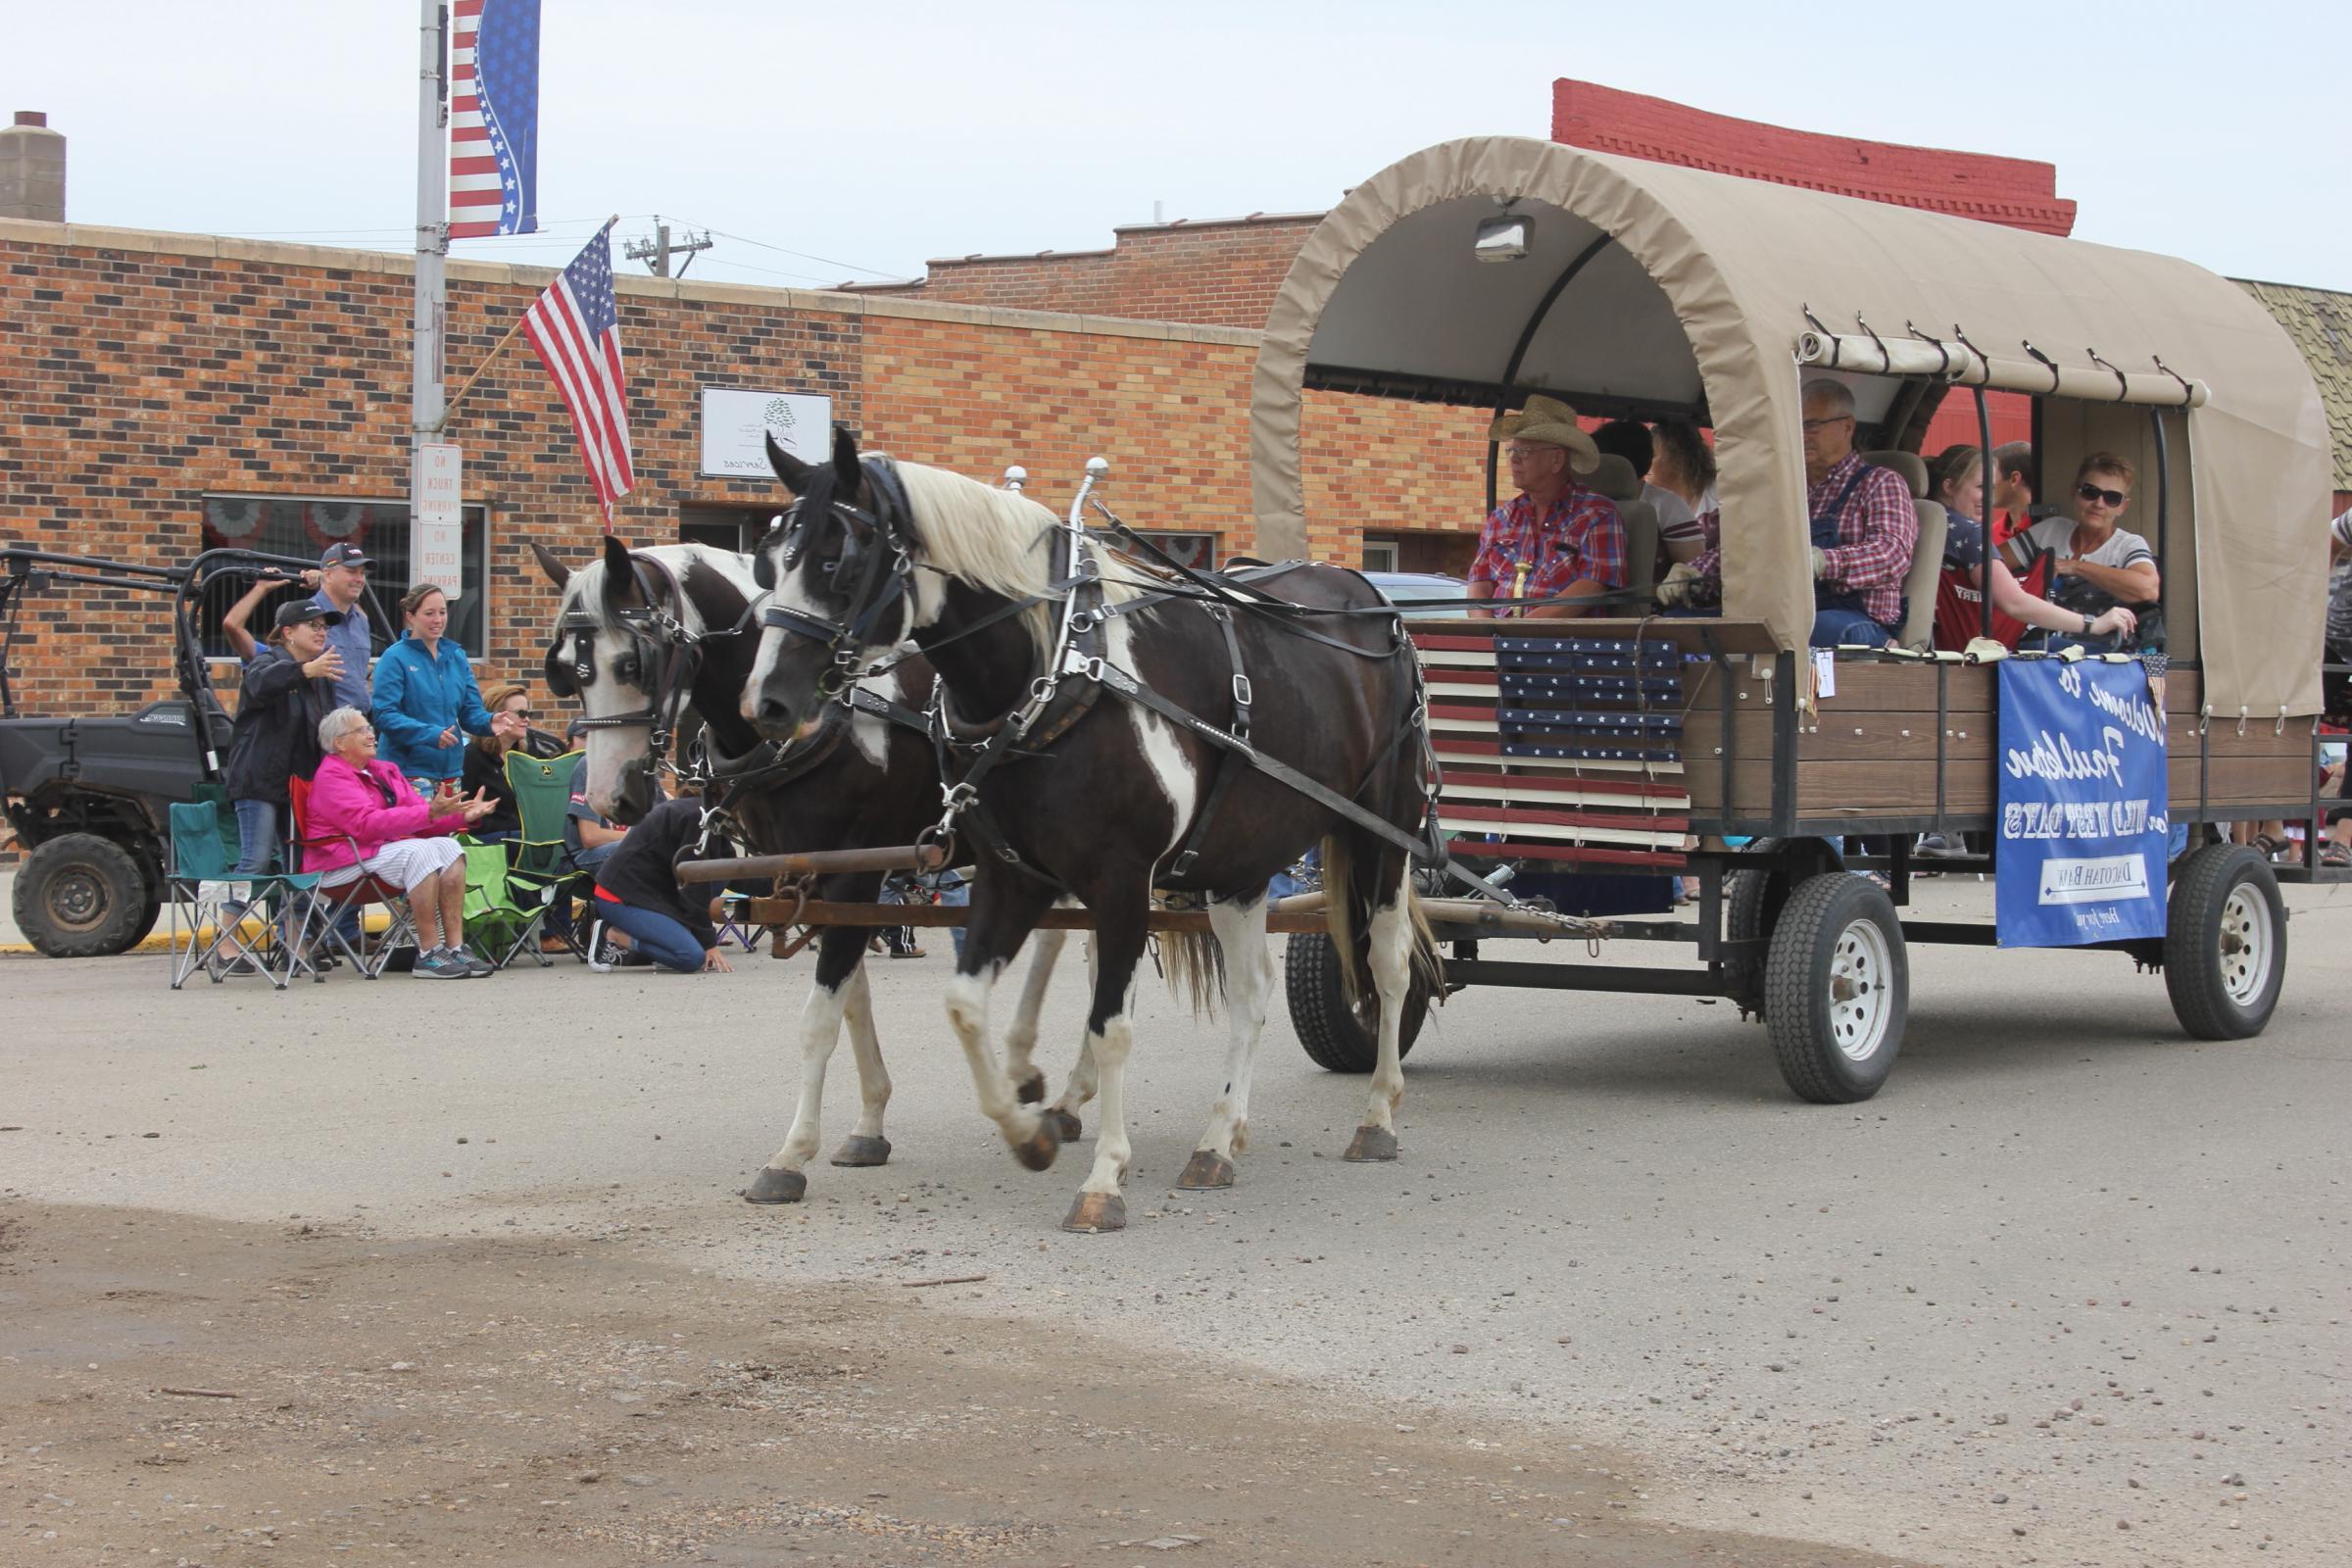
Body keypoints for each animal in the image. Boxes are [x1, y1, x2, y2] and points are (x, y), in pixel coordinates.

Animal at [529, 540, 1086, 1203]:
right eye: (566, 670)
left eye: (631, 663)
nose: (612, 798)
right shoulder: (825, 879)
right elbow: (853, 1003)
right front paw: (869, 1125)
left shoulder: (855, 873)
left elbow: (820, 1019)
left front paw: (791, 1156)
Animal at [743, 432, 1439, 1241]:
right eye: (768, 562)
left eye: (838, 562)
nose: (767, 703)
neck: (1060, 673)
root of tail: (1370, 595)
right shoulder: (1013, 875)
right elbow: (964, 1004)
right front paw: (1030, 1130)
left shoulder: (1120, 879)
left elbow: (1111, 1027)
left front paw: (1104, 1177)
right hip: (1239, 859)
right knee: (1253, 993)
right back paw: (1218, 1138)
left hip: (1385, 832)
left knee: (1388, 965)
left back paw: (1377, 1117)